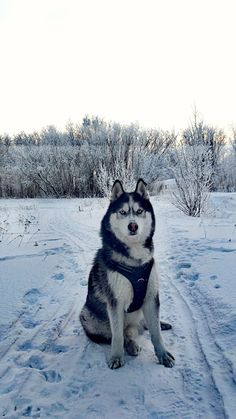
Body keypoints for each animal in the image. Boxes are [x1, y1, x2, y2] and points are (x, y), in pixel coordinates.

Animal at [80, 179, 174, 370]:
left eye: (139, 211)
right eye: (122, 212)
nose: (133, 225)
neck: (134, 259)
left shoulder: (151, 297)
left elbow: (156, 333)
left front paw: (163, 354)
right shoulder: (115, 302)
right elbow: (117, 337)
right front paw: (116, 357)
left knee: (145, 324)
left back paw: (160, 324)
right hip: (88, 317)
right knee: (120, 335)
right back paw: (131, 345)